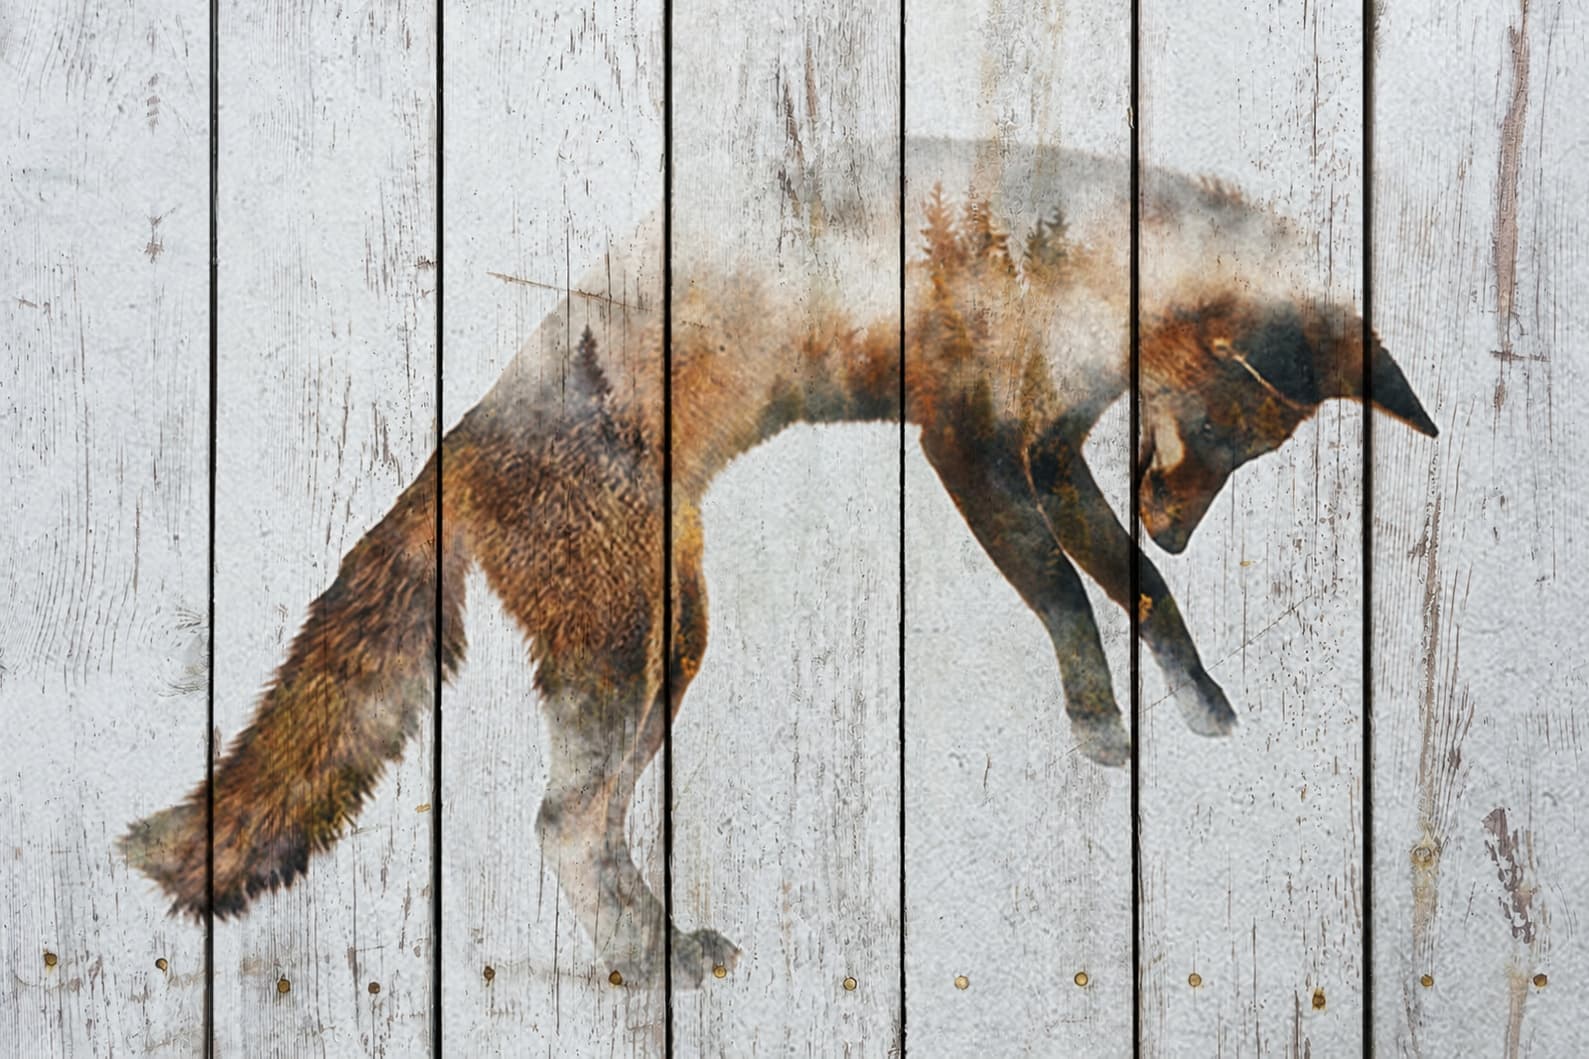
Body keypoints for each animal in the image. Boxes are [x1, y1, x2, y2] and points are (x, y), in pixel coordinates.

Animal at [121, 137, 1437, 987]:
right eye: (1208, 439)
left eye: (1248, 456)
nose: (1177, 524)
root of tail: (464, 439)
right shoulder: (964, 440)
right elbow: (1067, 596)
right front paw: (1098, 727)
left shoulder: (1052, 449)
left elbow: (1138, 593)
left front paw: (1195, 699)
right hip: (628, 647)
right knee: (562, 823)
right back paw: (646, 965)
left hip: (672, 643)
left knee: (585, 823)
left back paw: (646, 953)